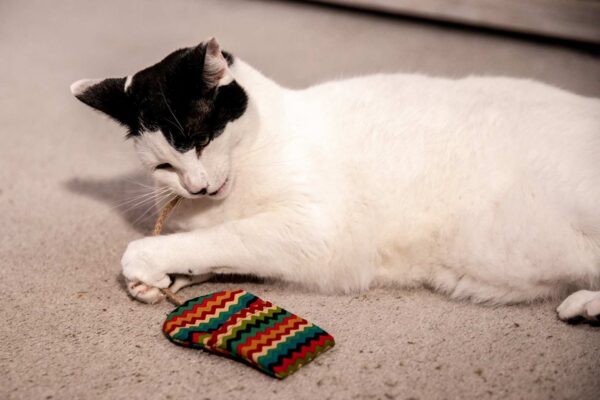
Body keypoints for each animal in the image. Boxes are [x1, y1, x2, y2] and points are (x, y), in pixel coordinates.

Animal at [71, 37, 600, 324]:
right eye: (164, 167)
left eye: (200, 139)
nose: (196, 187)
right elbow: (209, 251)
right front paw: (159, 280)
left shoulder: (312, 228)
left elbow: (221, 240)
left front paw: (144, 260)